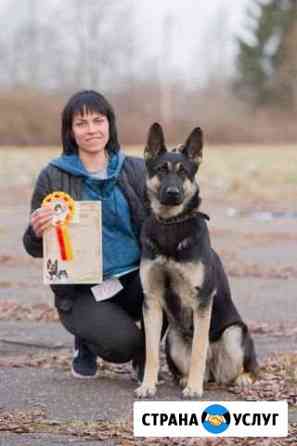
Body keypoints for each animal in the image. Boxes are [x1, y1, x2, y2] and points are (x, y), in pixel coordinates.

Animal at [135, 122, 256, 398]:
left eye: (184, 173)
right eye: (161, 170)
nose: (172, 193)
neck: (171, 223)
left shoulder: (202, 300)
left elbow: (199, 350)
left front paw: (193, 388)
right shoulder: (152, 301)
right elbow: (150, 352)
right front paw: (148, 385)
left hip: (234, 334)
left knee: (240, 367)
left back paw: (239, 379)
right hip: (172, 338)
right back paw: (183, 379)